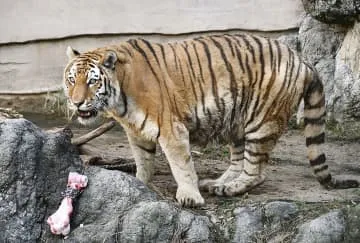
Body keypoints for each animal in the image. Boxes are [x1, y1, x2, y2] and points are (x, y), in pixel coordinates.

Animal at [63, 32, 358, 207]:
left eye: (92, 81)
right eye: (71, 80)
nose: (76, 102)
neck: (121, 99)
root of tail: (302, 59)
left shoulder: (172, 129)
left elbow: (181, 165)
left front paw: (189, 197)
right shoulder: (136, 132)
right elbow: (143, 161)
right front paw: (139, 185)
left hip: (262, 121)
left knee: (257, 171)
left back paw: (228, 189)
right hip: (237, 120)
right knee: (239, 161)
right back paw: (218, 183)